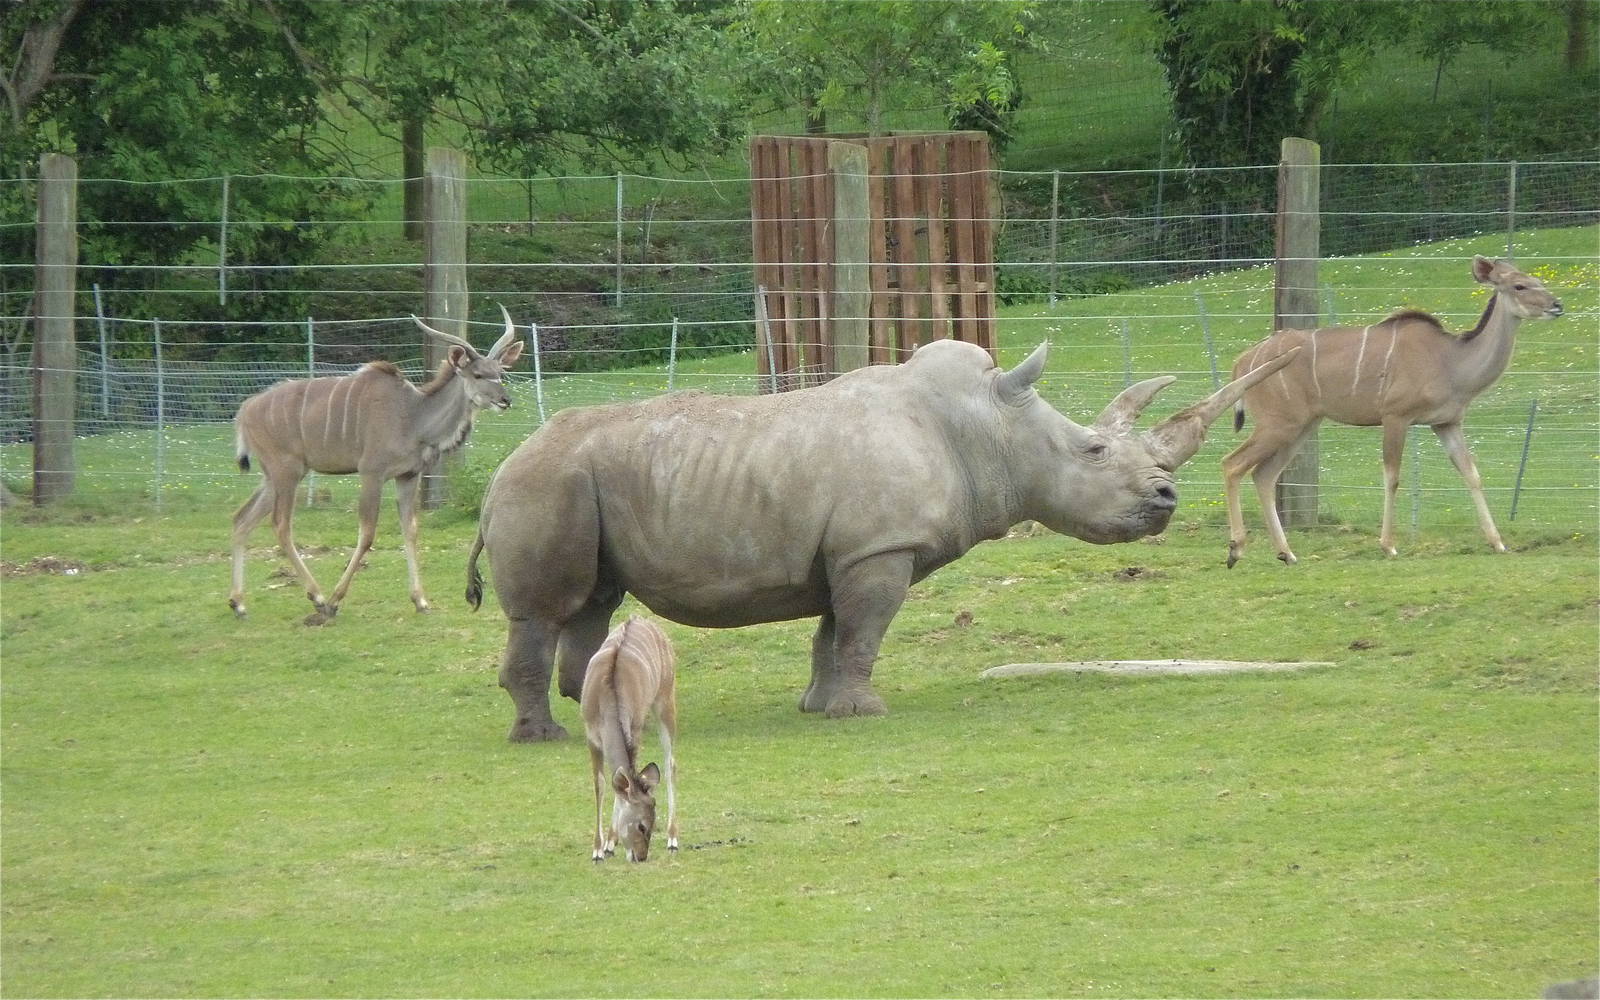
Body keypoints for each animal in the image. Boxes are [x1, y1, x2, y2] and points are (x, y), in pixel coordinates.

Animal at [467, 339, 1297, 741]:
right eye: (1093, 452)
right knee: (544, 612)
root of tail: (499, 471)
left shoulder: (855, 548)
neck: (989, 428)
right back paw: (544, 737)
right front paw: (865, 714)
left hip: (577, 484)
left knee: (592, 602)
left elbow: (834, 632)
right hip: (546, 485)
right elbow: (864, 632)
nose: (1165, 499)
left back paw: (604, 714)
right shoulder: (880, 549)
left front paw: (820, 706)